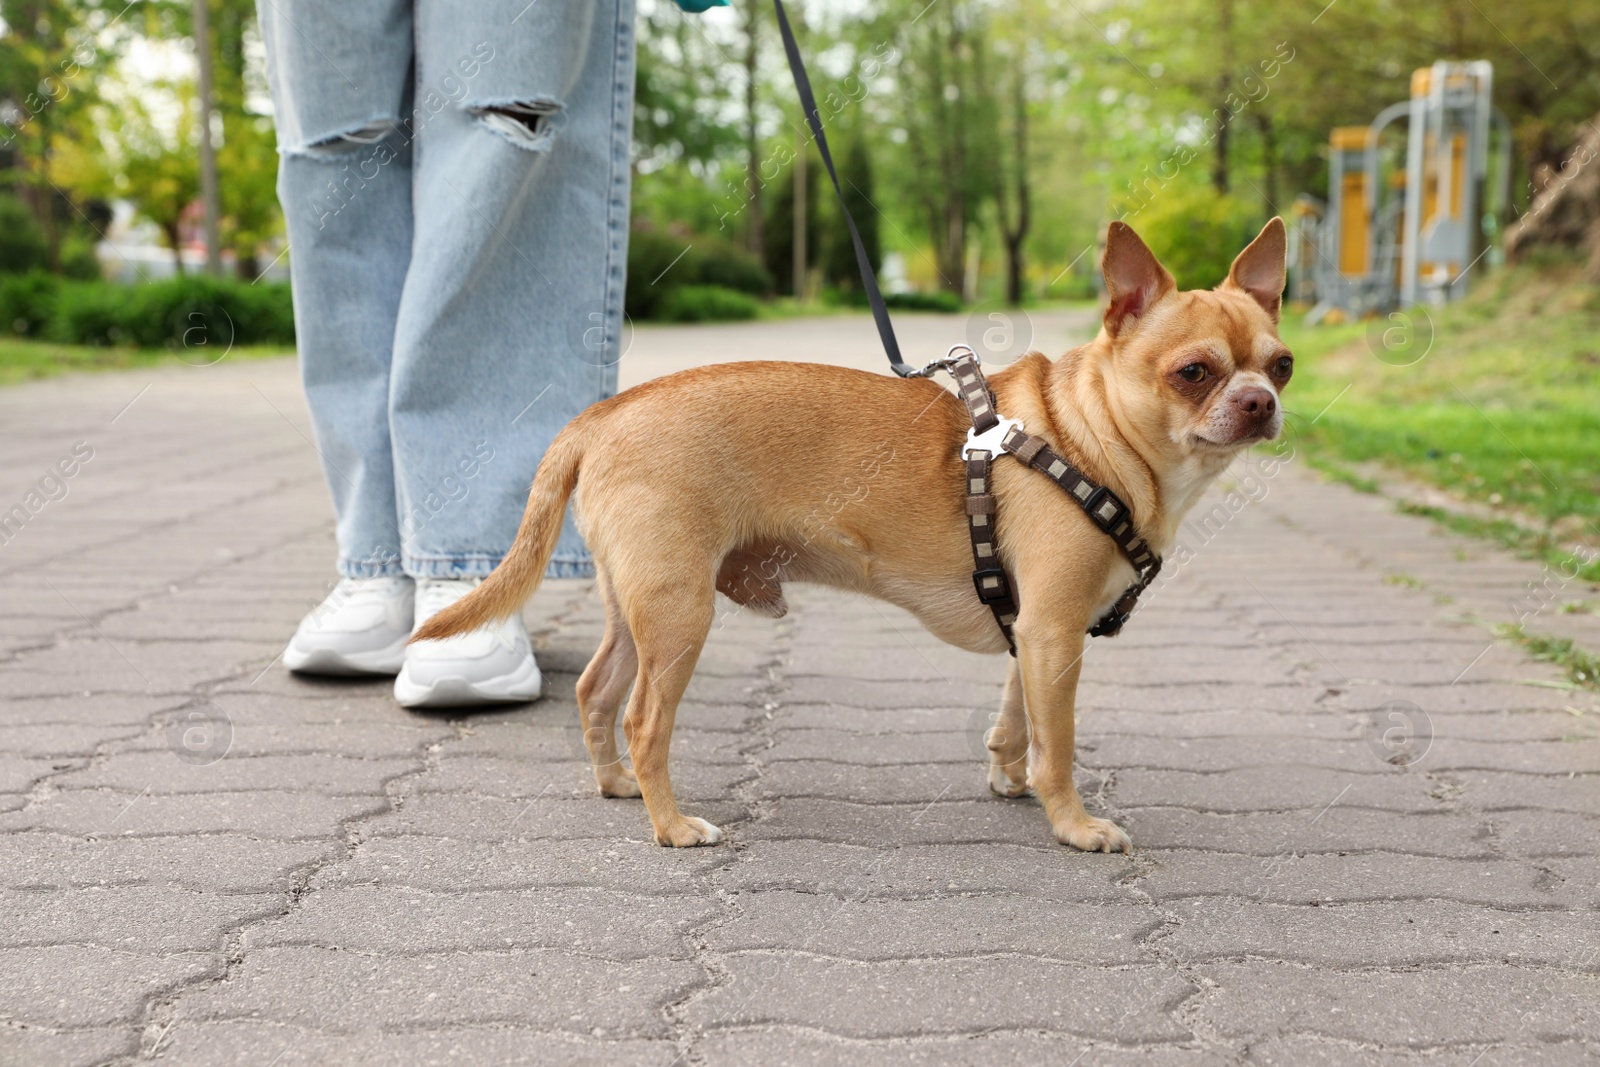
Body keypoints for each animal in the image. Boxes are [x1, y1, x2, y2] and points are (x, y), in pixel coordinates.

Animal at [412, 217, 1286, 851]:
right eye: (1194, 372)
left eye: (1280, 364)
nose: (1261, 402)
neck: (1085, 437)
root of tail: (601, 414)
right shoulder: (1053, 631)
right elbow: (1061, 742)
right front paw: (1072, 822)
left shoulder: (1038, 635)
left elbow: (1019, 719)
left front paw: (1011, 776)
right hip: (679, 613)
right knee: (644, 718)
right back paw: (671, 824)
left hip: (637, 607)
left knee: (596, 691)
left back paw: (618, 783)